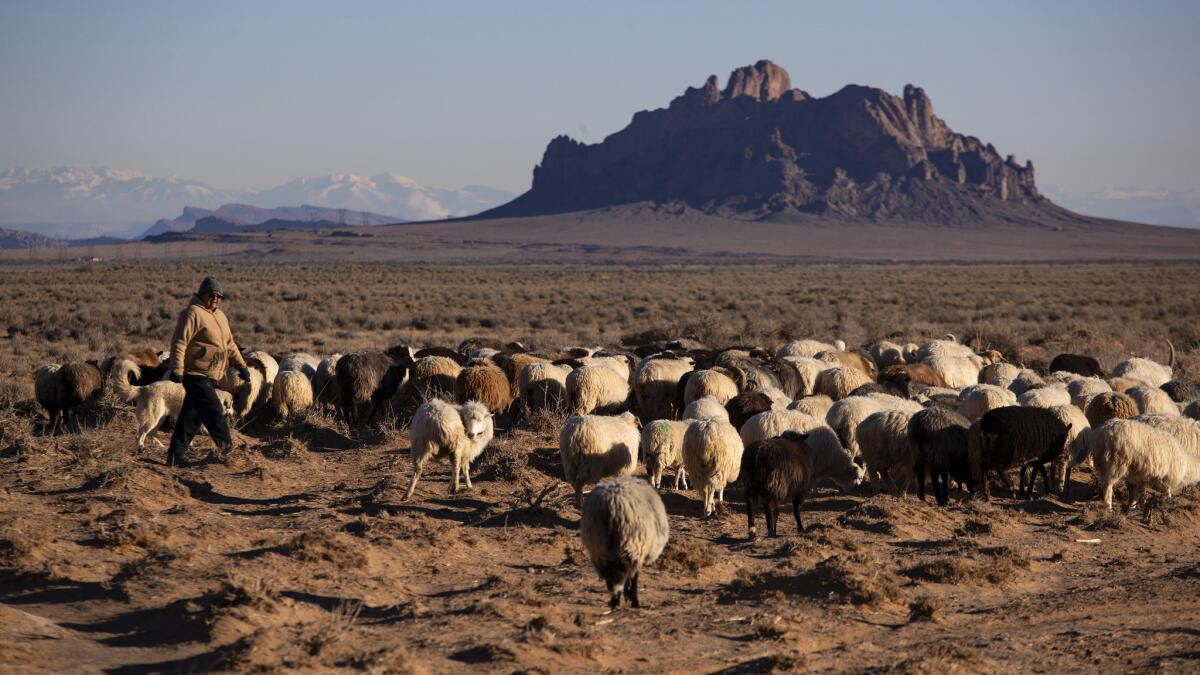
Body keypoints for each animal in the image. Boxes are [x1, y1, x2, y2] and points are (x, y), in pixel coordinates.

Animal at [578, 473, 672, 610]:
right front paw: (632, 599)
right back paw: (622, 599)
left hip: (600, 545)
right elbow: (633, 576)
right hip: (631, 543)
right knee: (621, 573)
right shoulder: (639, 552)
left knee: (609, 575)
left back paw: (614, 601)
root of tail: (612, 503)